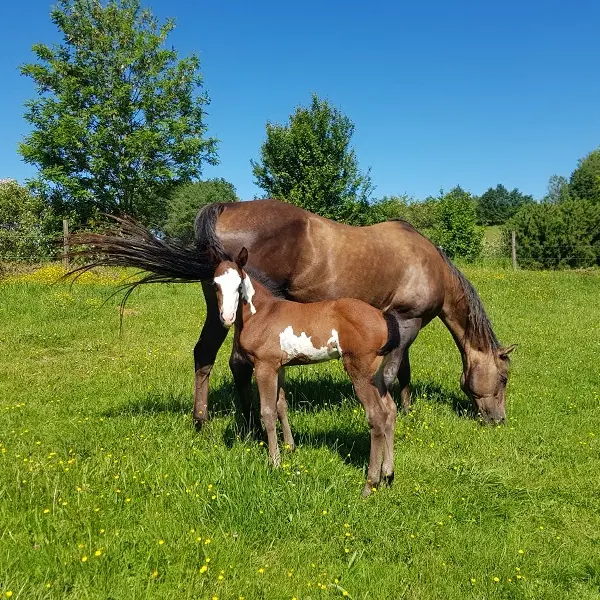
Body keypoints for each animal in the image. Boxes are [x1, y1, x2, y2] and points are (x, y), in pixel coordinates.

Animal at [67, 199, 516, 428]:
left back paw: (205, 421)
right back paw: (245, 421)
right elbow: (390, 372)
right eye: (504, 378)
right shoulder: (408, 320)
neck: (428, 262)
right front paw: (400, 412)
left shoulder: (395, 321)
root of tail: (225, 207)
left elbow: (401, 370)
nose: (498, 420)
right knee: (232, 361)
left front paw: (405, 406)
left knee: (206, 356)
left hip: (221, 309)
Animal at [213, 246, 400, 494]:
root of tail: (381, 316)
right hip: (376, 376)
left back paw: (370, 485)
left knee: (377, 417)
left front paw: (275, 462)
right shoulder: (279, 366)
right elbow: (281, 405)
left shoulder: (264, 366)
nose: (226, 318)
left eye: (238, 285)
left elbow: (267, 411)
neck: (262, 312)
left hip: (360, 373)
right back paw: (388, 474)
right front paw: (290, 447)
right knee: (390, 411)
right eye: (215, 284)